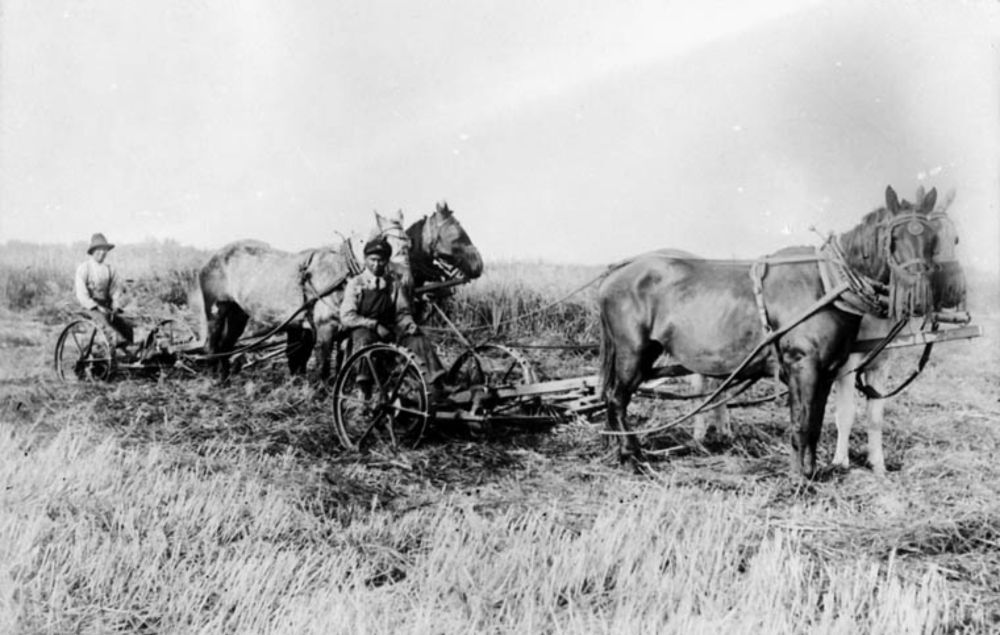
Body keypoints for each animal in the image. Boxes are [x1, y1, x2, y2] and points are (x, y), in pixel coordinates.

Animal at [600, 185, 944, 476]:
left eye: (934, 239)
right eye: (893, 238)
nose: (920, 299)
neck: (827, 284)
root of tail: (615, 272)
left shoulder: (827, 370)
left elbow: (815, 422)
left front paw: (811, 470)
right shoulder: (802, 366)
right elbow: (802, 424)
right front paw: (801, 477)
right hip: (634, 352)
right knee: (617, 399)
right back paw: (632, 456)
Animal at [832, 186, 964, 474]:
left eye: (955, 239)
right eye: (892, 239)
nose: (953, 291)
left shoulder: (881, 365)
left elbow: (875, 416)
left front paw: (877, 464)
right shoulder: (847, 365)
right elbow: (846, 413)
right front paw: (840, 463)